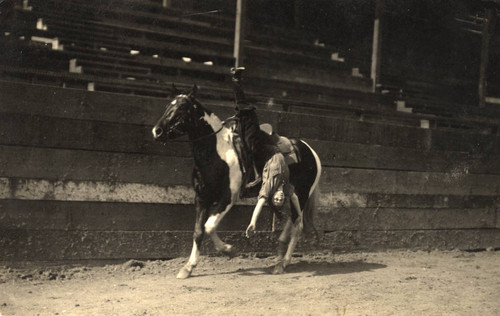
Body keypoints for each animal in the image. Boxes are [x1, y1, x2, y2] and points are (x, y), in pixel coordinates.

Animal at [151, 84, 320, 278]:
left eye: (182, 108)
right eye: (167, 106)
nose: (157, 131)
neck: (217, 154)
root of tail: (310, 150)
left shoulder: (228, 198)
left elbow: (209, 226)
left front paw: (229, 250)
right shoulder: (201, 198)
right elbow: (199, 230)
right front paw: (188, 267)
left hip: (301, 195)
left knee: (297, 225)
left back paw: (283, 263)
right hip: (289, 194)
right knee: (292, 223)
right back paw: (280, 258)